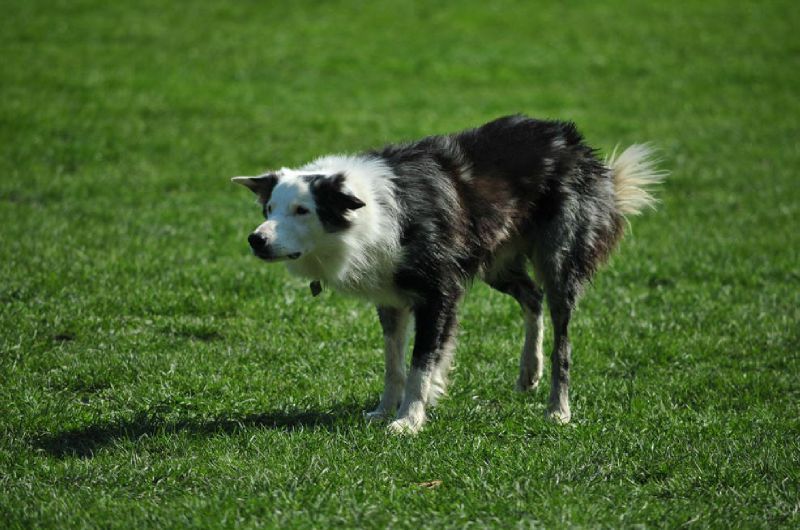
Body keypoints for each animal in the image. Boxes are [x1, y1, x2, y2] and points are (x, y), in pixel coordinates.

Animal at [234, 113, 664, 432]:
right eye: (268, 209)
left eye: (302, 210)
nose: (256, 239)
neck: (370, 211)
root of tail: (575, 142)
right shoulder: (390, 298)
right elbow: (393, 365)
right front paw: (383, 411)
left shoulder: (439, 294)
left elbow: (421, 364)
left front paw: (408, 420)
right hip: (495, 262)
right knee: (532, 296)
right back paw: (529, 370)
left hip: (558, 260)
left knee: (563, 339)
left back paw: (558, 408)